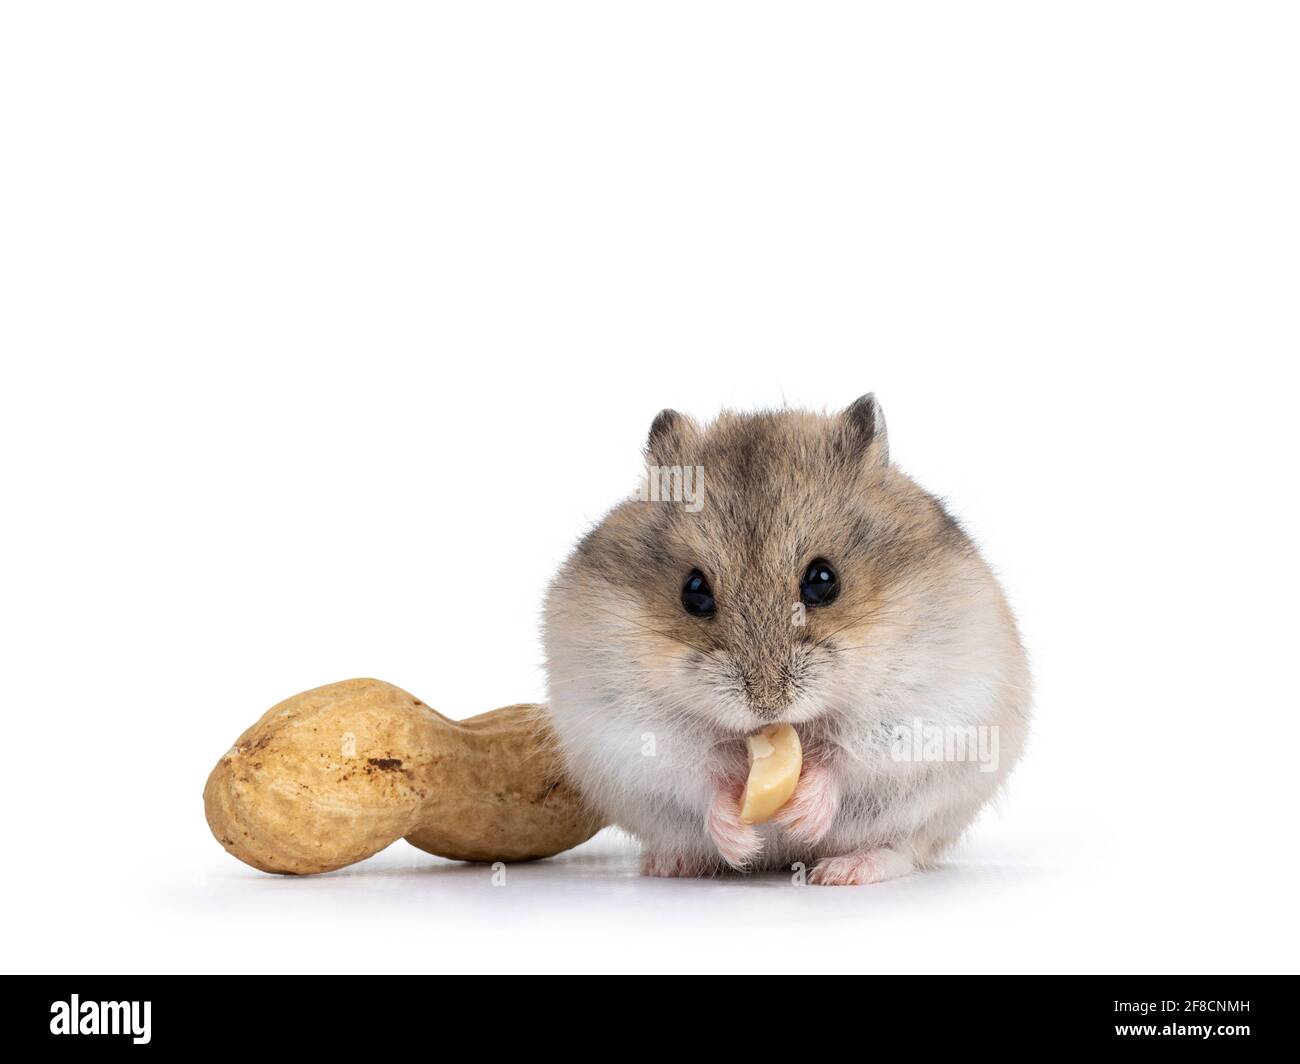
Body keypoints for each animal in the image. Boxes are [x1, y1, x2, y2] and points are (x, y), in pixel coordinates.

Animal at [542, 396, 1030, 884]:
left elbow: (846, 755)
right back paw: (673, 864)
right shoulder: (619, 721)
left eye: (823, 580)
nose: (767, 705)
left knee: (903, 848)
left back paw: (842, 870)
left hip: (932, 809)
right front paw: (740, 838)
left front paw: (801, 817)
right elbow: (700, 768)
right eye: (693, 591)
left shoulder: (928, 703)